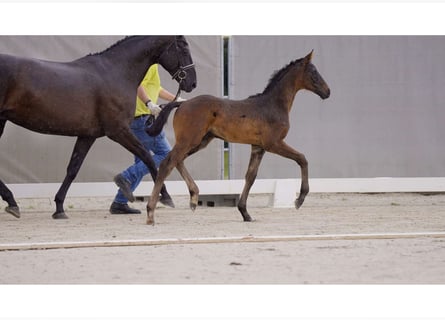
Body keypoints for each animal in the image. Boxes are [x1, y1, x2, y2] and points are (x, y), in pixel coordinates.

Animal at [0, 35, 196, 220]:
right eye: (184, 47)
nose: (193, 83)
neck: (116, 72)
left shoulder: (88, 135)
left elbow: (73, 169)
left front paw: (59, 207)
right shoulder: (118, 130)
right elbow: (147, 157)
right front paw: (166, 196)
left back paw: (12, 202)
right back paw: (12, 202)